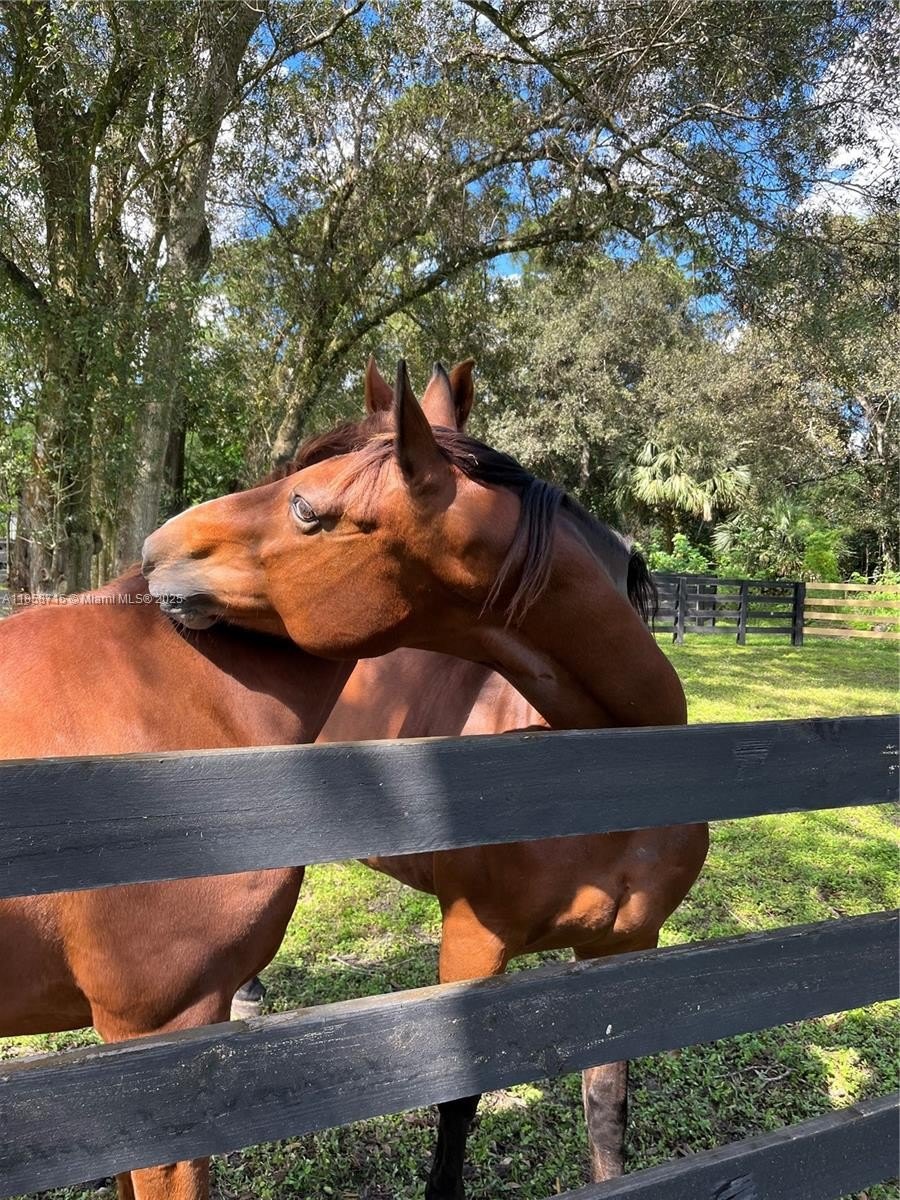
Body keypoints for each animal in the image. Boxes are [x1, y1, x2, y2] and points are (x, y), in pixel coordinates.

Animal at [2, 361, 684, 1200]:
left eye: (306, 506)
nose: (159, 546)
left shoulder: (624, 952)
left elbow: (607, 1112)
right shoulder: (474, 940)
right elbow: (458, 1101)